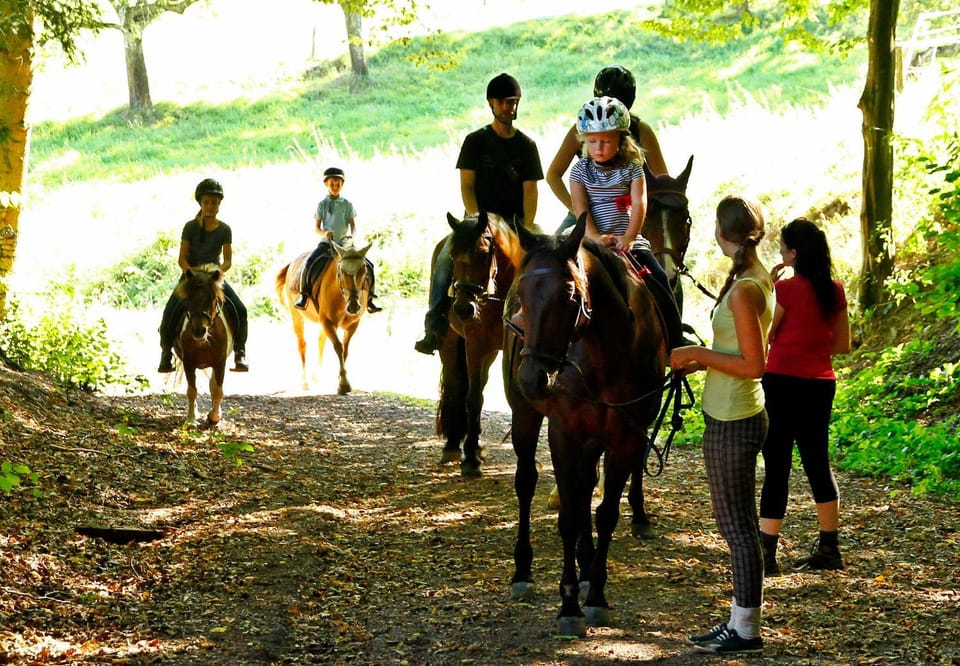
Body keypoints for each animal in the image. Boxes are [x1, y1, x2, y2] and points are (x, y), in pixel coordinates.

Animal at [172, 266, 235, 427]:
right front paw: (191, 420)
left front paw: (214, 417)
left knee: (213, 385)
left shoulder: (220, 362)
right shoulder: (188, 363)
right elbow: (191, 391)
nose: (198, 331)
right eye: (189, 298)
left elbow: (217, 390)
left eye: (213, 298)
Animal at [275, 242, 373, 394]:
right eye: (341, 272)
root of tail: (291, 264)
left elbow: (345, 350)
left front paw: (340, 378)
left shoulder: (352, 325)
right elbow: (338, 347)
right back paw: (305, 382)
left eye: (364, 270)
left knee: (320, 342)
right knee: (302, 344)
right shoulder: (327, 321)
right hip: (296, 315)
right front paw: (343, 384)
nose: (353, 306)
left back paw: (316, 376)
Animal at [434, 211, 515, 477]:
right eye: (452, 256)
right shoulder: (475, 346)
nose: (462, 309)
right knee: (457, 385)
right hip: (451, 344)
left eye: (482, 253)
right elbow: (472, 399)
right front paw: (469, 458)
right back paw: (452, 446)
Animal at [499, 213, 669, 637]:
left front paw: (595, 596)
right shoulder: (564, 432)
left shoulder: (625, 436)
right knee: (526, 482)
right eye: (522, 296)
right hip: (525, 416)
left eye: (571, 297)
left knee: (586, 486)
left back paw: (588, 566)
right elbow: (569, 515)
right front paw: (569, 605)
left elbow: (603, 512)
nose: (533, 378)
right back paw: (523, 572)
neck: (604, 351)